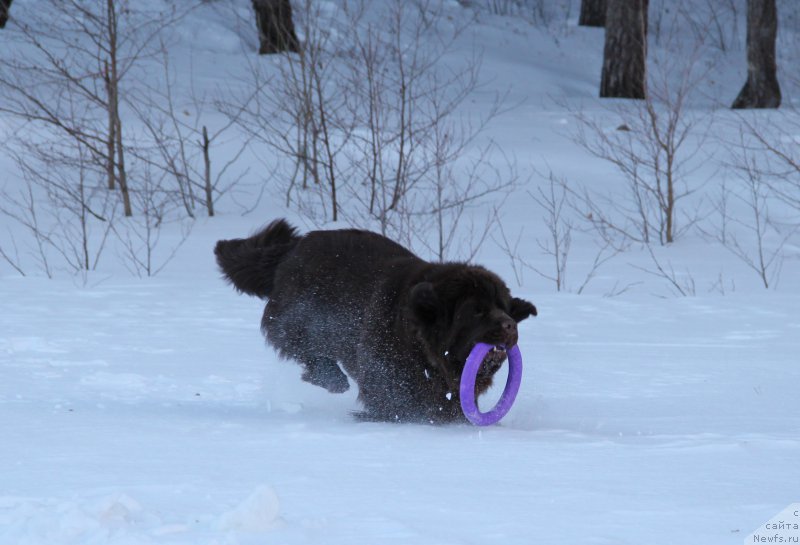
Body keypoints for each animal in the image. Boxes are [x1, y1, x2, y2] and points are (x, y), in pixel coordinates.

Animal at [212, 219, 536, 422]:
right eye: (476, 311)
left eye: (504, 308)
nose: (509, 325)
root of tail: (293, 248)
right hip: (297, 320)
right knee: (308, 353)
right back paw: (333, 378)